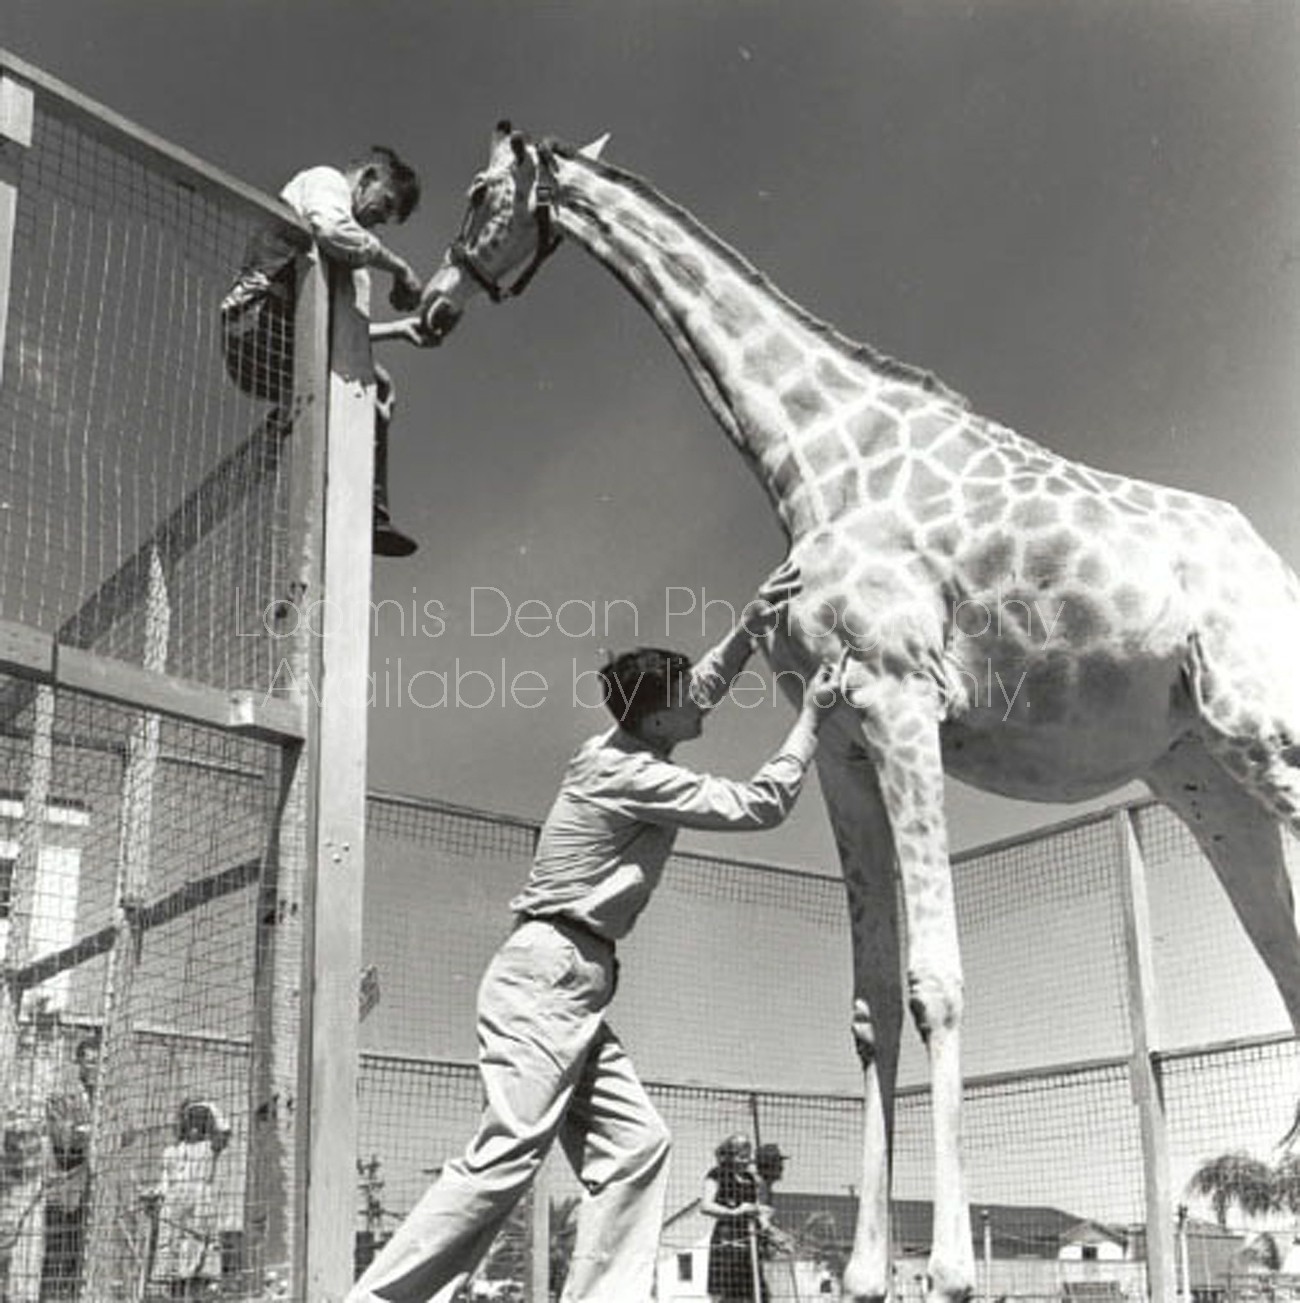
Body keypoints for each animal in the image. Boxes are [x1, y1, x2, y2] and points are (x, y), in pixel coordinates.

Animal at [409, 119, 1300, 1292]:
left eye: (477, 195)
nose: (431, 306)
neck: (817, 460)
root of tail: (1277, 570)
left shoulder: (902, 701)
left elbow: (935, 982)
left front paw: (953, 1269)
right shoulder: (838, 742)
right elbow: (872, 1009)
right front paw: (876, 1271)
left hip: (1267, 734)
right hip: (1207, 781)